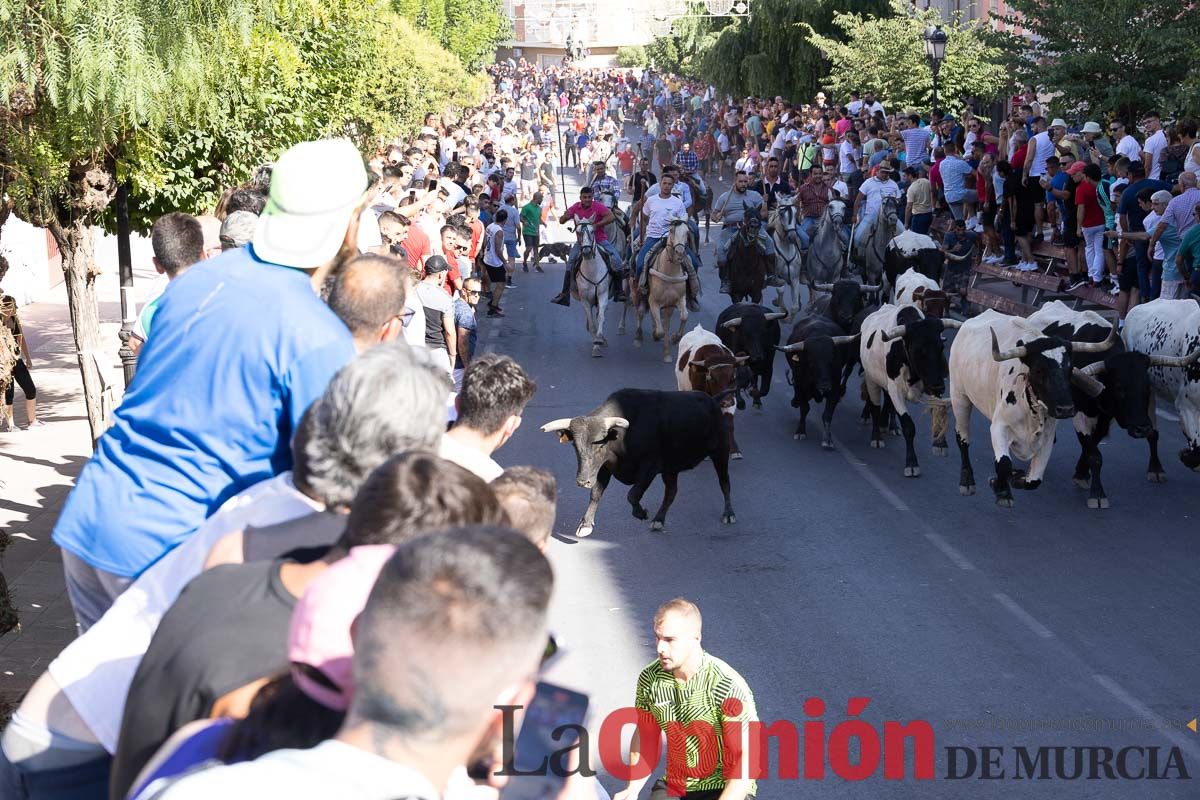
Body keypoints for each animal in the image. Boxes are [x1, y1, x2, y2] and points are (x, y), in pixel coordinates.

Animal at [542, 388, 729, 534]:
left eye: (600, 445)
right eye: (575, 445)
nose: (582, 481)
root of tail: (713, 400)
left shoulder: (650, 467)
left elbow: (633, 493)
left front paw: (641, 513)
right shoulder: (605, 467)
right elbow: (596, 493)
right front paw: (586, 524)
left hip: (720, 452)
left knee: (724, 482)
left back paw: (729, 514)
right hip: (671, 468)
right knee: (671, 492)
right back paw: (659, 520)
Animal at [571, 217, 609, 357]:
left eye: (592, 231)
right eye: (577, 232)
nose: (586, 251)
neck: (592, 271)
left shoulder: (603, 295)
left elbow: (601, 317)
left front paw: (599, 339)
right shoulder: (584, 300)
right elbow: (592, 324)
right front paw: (596, 345)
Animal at [768, 191, 806, 319]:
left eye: (796, 212)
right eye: (781, 213)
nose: (793, 237)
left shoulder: (794, 278)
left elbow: (794, 306)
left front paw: (789, 318)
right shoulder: (778, 278)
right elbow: (780, 291)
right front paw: (782, 311)